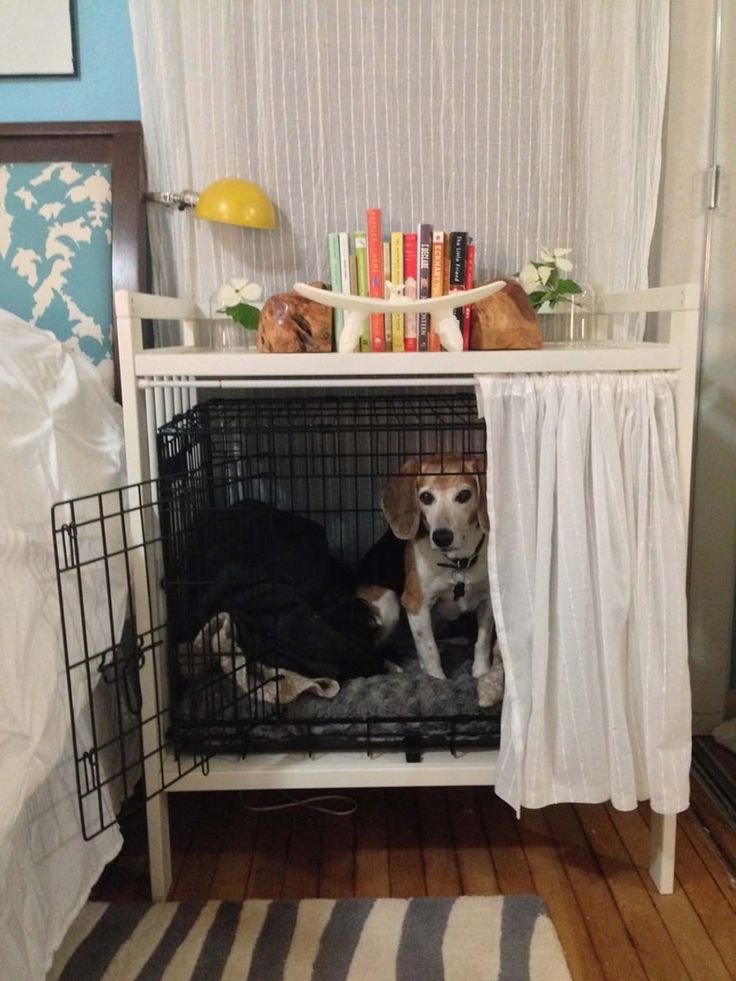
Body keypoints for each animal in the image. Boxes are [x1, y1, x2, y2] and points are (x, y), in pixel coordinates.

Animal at [358, 456, 506, 700]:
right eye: (426, 497)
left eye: (464, 495)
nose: (442, 537)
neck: (457, 563)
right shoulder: (416, 605)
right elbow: (430, 650)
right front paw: (437, 681)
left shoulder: (488, 599)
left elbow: (483, 641)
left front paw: (481, 673)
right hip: (388, 602)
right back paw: (390, 667)